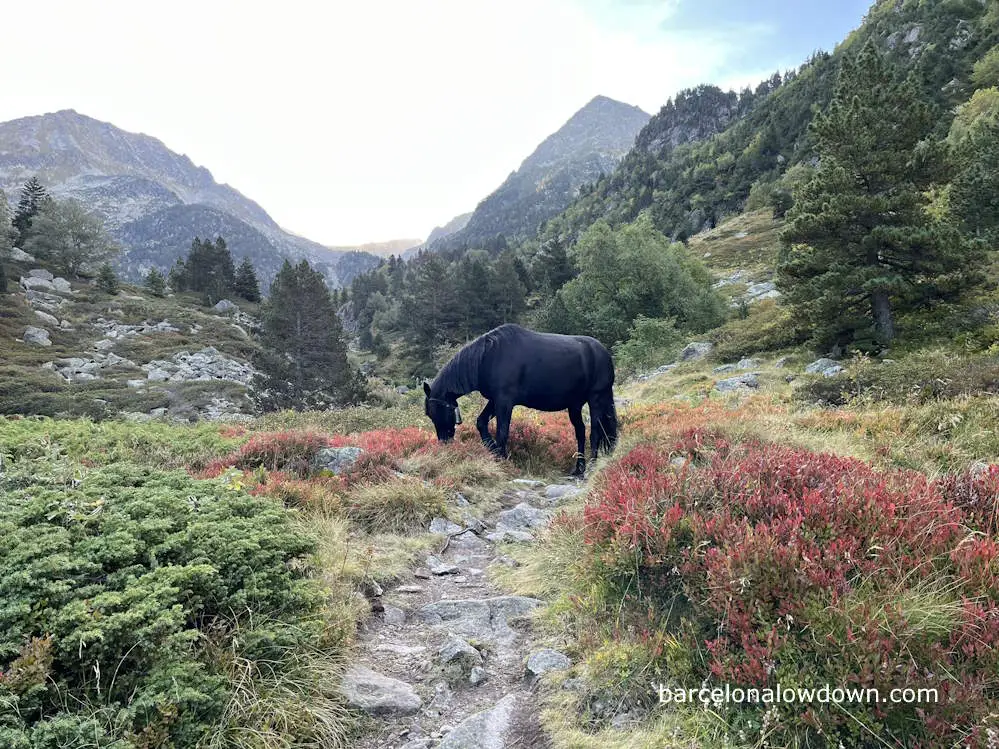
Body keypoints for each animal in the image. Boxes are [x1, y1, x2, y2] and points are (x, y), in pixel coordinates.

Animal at [422, 324, 616, 476]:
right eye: (430, 415)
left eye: (439, 411)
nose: (444, 443)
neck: (489, 357)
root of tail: (604, 353)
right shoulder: (495, 400)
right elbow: (481, 422)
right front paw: (493, 450)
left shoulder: (504, 402)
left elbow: (502, 432)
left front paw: (501, 458)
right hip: (574, 405)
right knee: (581, 432)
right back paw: (579, 469)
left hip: (596, 398)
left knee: (595, 431)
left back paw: (591, 466)